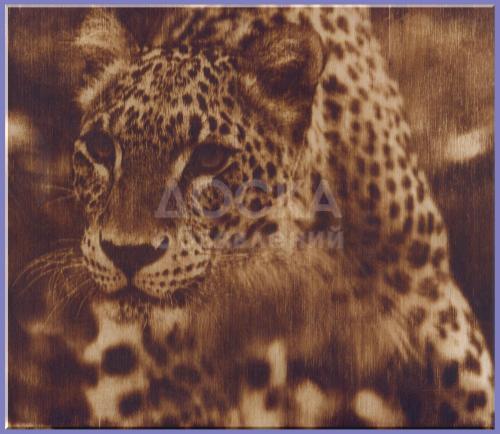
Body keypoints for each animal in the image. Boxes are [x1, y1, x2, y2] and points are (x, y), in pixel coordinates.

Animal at [9, 7, 494, 428]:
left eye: (209, 158)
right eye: (101, 149)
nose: (126, 253)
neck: (274, 263)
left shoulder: (434, 308)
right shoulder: (157, 353)